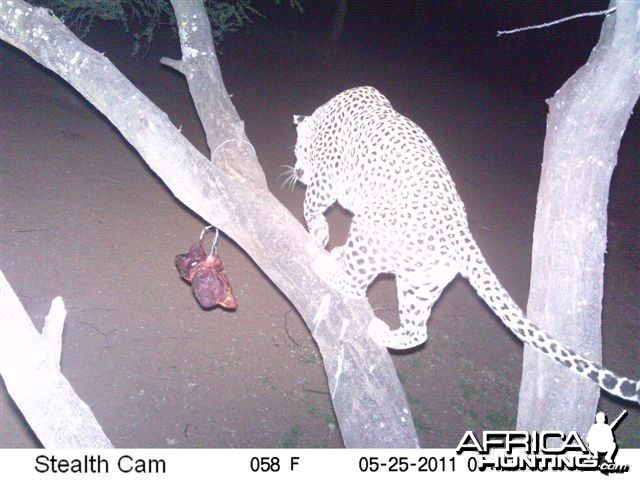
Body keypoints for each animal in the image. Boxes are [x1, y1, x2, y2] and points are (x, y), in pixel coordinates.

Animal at [288, 86, 640, 404]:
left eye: (299, 150)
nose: (298, 170)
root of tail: (462, 236)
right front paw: (327, 238)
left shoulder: (327, 175)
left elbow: (312, 202)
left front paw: (318, 231)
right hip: (420, 283)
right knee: (418, 331)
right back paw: (383, 330)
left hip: (372, 227)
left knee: (356, 284)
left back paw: (329, 268)